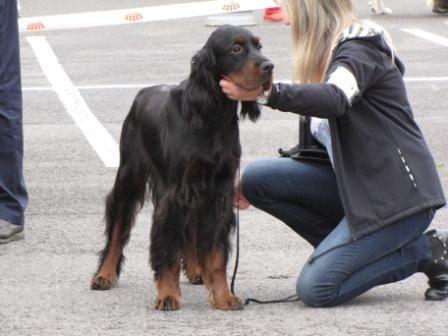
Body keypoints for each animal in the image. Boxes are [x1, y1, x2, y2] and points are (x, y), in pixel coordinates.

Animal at [90, 25, 272, 312]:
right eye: (236, 48)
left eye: (259, 46)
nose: (269, 66)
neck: (211, 116)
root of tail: (143, 93)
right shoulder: (175, 193)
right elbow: (167, 250)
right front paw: (167, 295)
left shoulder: (218, 191)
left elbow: (216, 254)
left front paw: (223, 295)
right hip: (129, 176)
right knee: (117, 228)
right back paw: (104, 275)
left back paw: (197, 270)